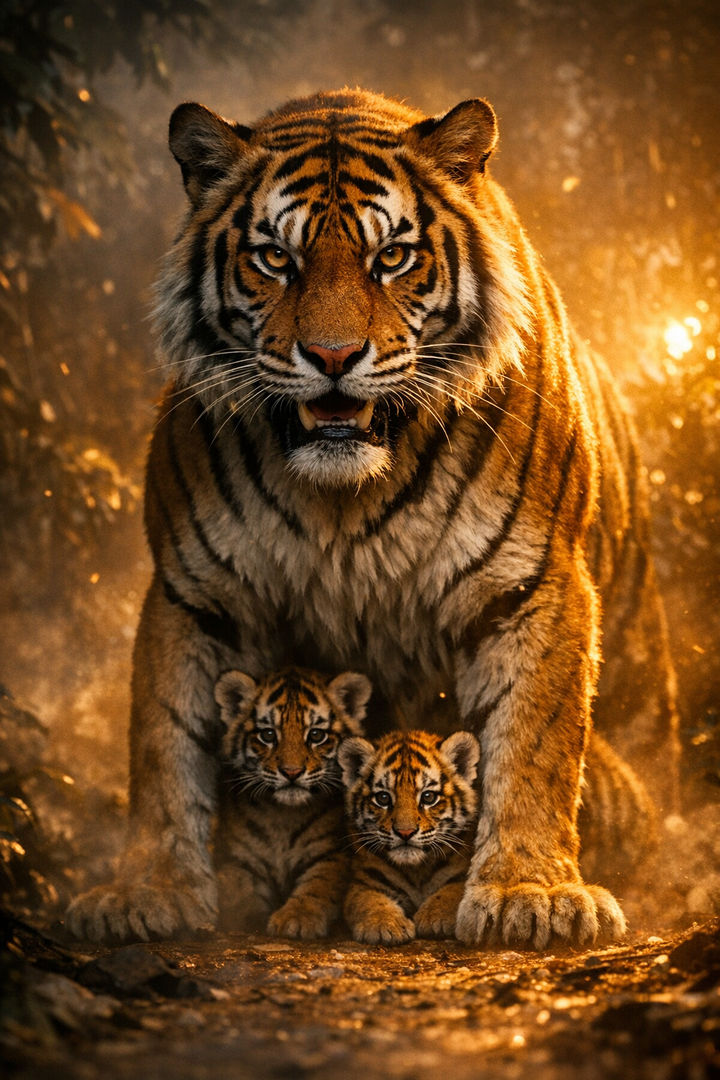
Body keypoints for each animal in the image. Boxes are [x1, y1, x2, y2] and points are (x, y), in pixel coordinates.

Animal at [214, 665, 370, 938]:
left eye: (316, 735)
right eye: (268, 734)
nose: (291, 772)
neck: (282, 814)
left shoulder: (333, 853)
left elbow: (319, 884)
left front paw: (297, 918)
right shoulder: (234, 857)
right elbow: (236, 886)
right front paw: (248, 917)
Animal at [339, 730, 481, 944]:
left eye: (428, 797)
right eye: (383, 798)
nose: (405, 832)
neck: (416, 870)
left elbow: (453, 890)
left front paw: (435, 918)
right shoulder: (364, 882)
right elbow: (368, 900)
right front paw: (384, 925)